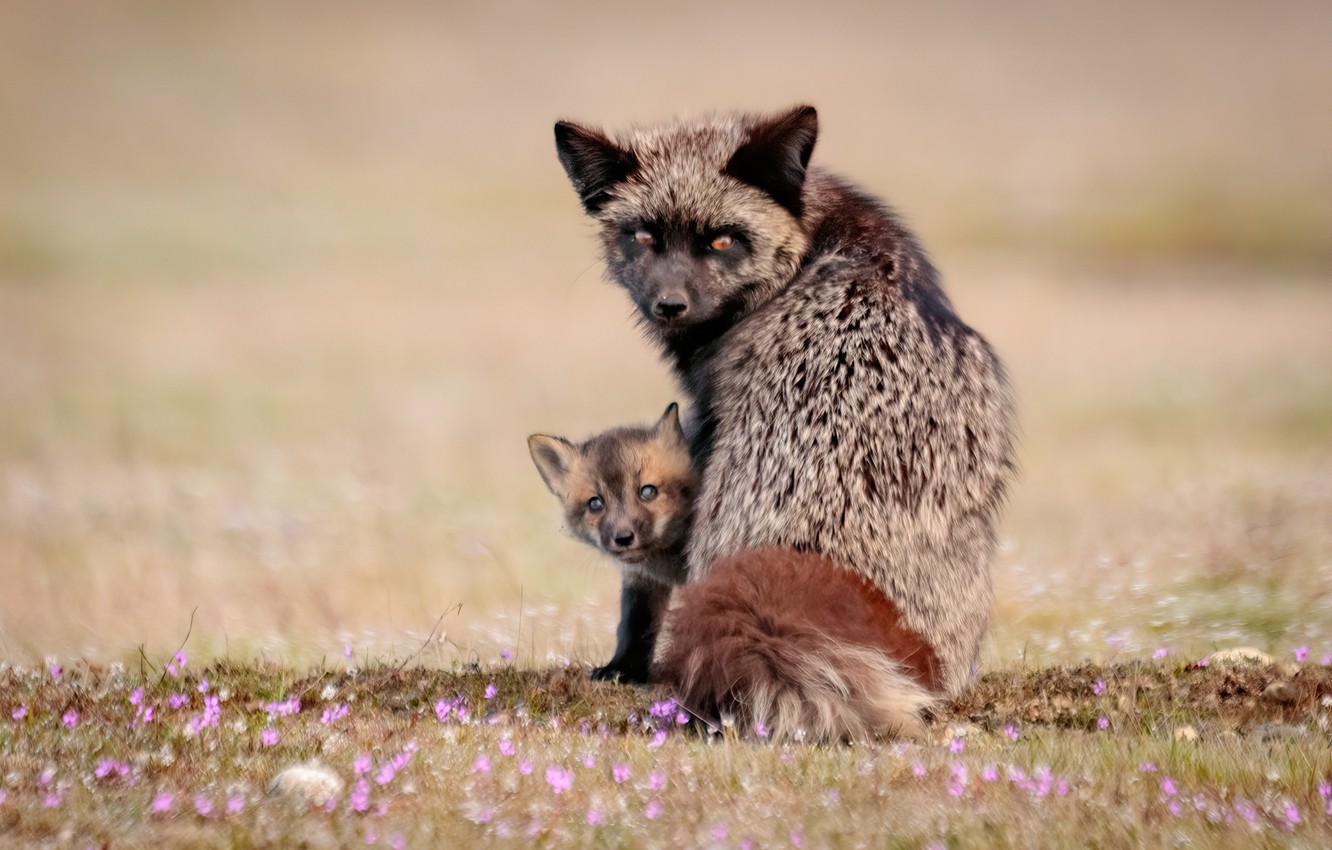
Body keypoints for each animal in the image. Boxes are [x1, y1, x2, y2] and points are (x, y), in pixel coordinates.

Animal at [528, 403, 695, 684]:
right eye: (596, 503)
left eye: (647, 491)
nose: (623, 538)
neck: (667, 562)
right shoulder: (642, 581)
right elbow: (634, 628)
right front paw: (623, 669)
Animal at [553, 106, 1016, 739]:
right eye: (643, 236)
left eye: (723, 239)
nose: (669, 306)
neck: (814, 249)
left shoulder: (704, 431)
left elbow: (641, 592)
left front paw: (626, 665)